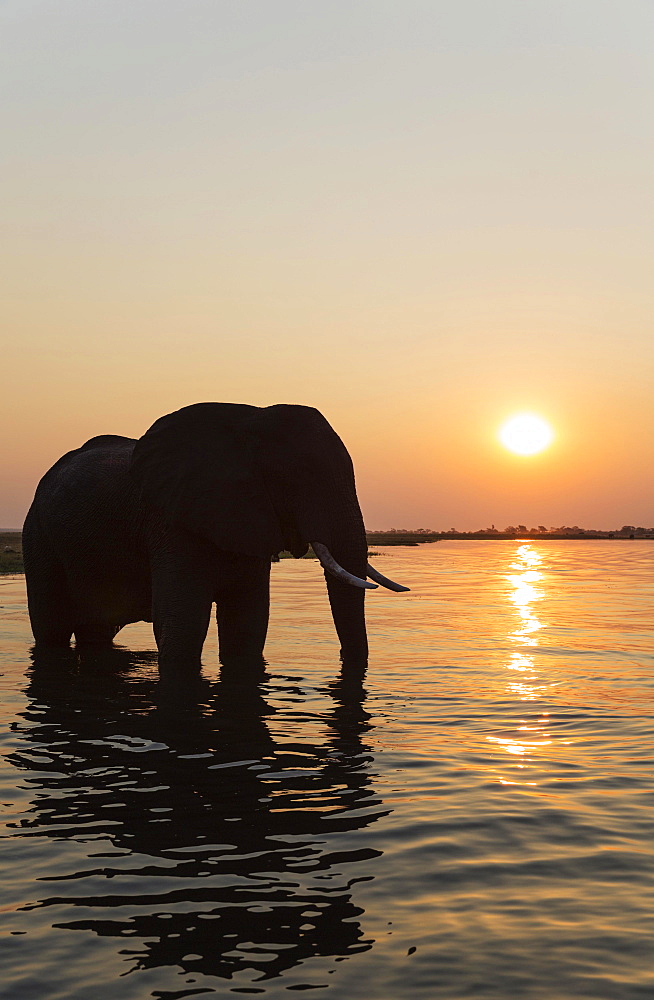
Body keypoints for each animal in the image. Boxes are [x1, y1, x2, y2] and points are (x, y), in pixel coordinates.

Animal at [23, 402, 408, 676]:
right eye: (298, 477)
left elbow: (248, 624)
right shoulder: (171, 520)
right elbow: (185, 622)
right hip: (38, 536)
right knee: (51, 630)